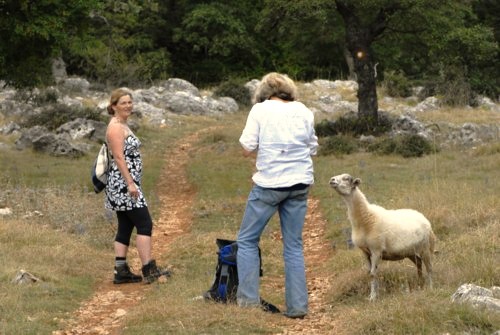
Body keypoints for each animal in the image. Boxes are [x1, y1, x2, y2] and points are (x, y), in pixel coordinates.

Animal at [328, 173, 434, 302]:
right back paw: (420, 284)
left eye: (346, 179)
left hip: (425, 248)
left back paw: (430, 288)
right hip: (411, 252)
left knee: (429, 268)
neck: (366, 219)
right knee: (419, 265)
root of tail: (424, 218)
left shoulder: (376, 250)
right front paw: (373, 294)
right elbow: (369, 273)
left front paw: (373, 297)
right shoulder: (365, 252)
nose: (332, 180)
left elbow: (373, 273)